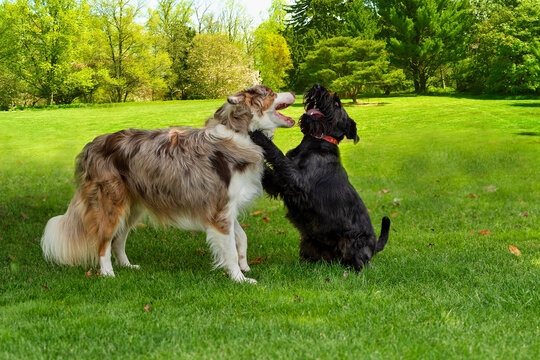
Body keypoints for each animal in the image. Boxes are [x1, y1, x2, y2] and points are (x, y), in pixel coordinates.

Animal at [41, 86, 296, 282]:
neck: (241, 132)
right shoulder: (219, 209)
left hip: (132, 206)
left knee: (118, 239)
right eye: (271, 92)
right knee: (104, 240)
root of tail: (91, 145)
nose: (294, 91)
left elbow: (240, 238)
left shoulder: (226, 207)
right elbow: (230, 249)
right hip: (111, 203)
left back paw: (127, 266)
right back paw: (107, 273)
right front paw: (239, 278)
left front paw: (244, 266)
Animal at [251, 84, 390, 270]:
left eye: (337, 103)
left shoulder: (296, 181)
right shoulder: (279, 183)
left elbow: (277, 155)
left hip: (352, 243)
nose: (318, 87)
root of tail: (374, 247)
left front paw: (257, 135)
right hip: (308, 242)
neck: (316, 141)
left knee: (361, 263)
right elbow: (268, 169)